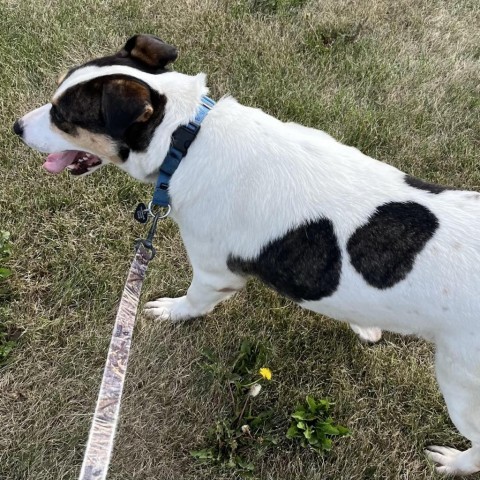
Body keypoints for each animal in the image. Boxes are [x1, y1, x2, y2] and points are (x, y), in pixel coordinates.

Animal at [13, 35, 480, 474]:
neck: (187, 139)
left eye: (63, 117)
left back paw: (452, 463)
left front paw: (172, 311)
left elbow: (193, 302)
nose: (16, 127)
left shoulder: (214, 272)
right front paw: (364, 325)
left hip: (459, 384)